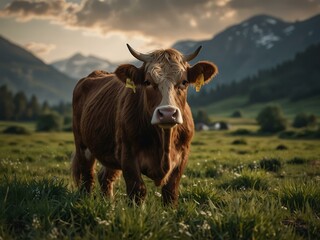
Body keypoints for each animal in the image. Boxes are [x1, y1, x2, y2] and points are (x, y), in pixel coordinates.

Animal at [71, 44, 218, 205]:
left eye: (184, 82)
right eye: (147, 82)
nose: (167, 113)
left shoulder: (183, 156)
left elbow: (170, 192)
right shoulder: (128, 155)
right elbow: (137, 191)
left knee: (105, 177)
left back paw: (109, 205)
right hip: (82, 144)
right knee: (87, 176)